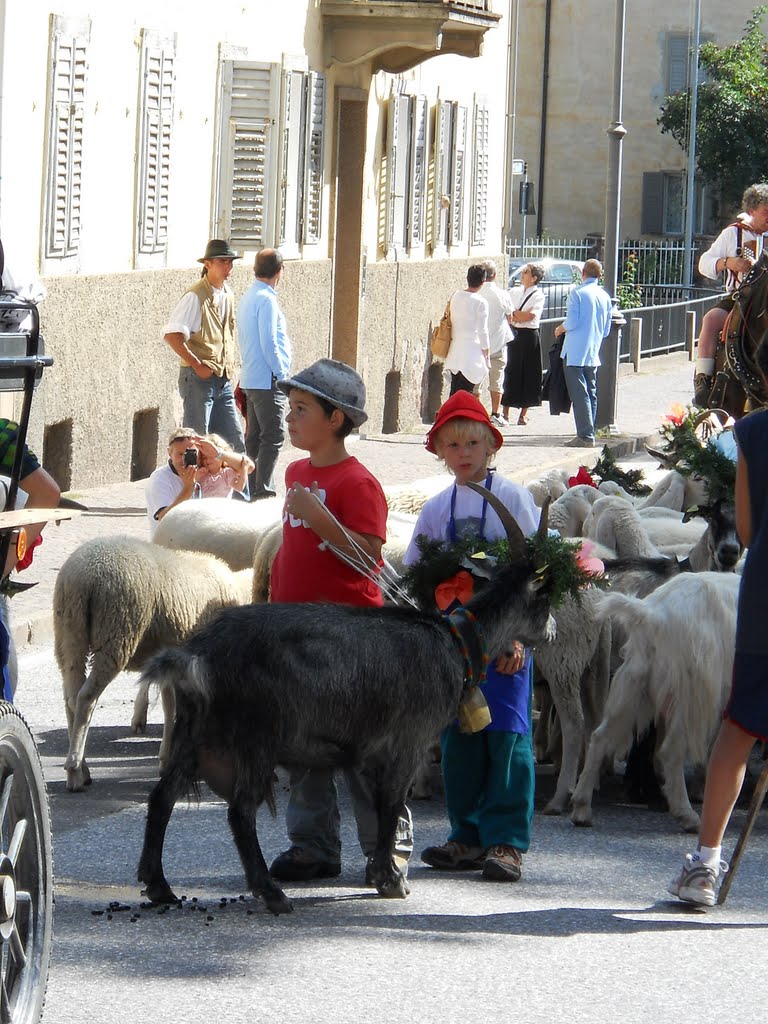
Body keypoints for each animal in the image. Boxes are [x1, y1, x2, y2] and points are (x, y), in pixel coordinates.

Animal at [54, 536, 252, 790]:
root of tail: (84, 575)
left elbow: (170, 707)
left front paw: (166, 759)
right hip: (116, 632)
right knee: (86, 697)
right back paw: (75, 768)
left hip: (69, 632)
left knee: (71, 698)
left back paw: (81, 770)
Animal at [137, 483, 561, 917]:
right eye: (544, 599)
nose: (552, 632)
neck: (456, 642)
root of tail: (196, 655)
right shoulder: (408, 742)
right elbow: (391, 806)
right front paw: (391, 881)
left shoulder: (371, 751)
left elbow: (377, 808)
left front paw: (379, 872)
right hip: (257, 736)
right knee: (240, 812)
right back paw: (271, 893)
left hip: (193, 732)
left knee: (162, 798)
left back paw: (160, 886)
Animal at [573, 577, 741, 831]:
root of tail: (652, 613)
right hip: (691, 695)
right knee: (671, 752)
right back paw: (688, 816)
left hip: (633, 683)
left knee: (600, 736)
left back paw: (582, 809)